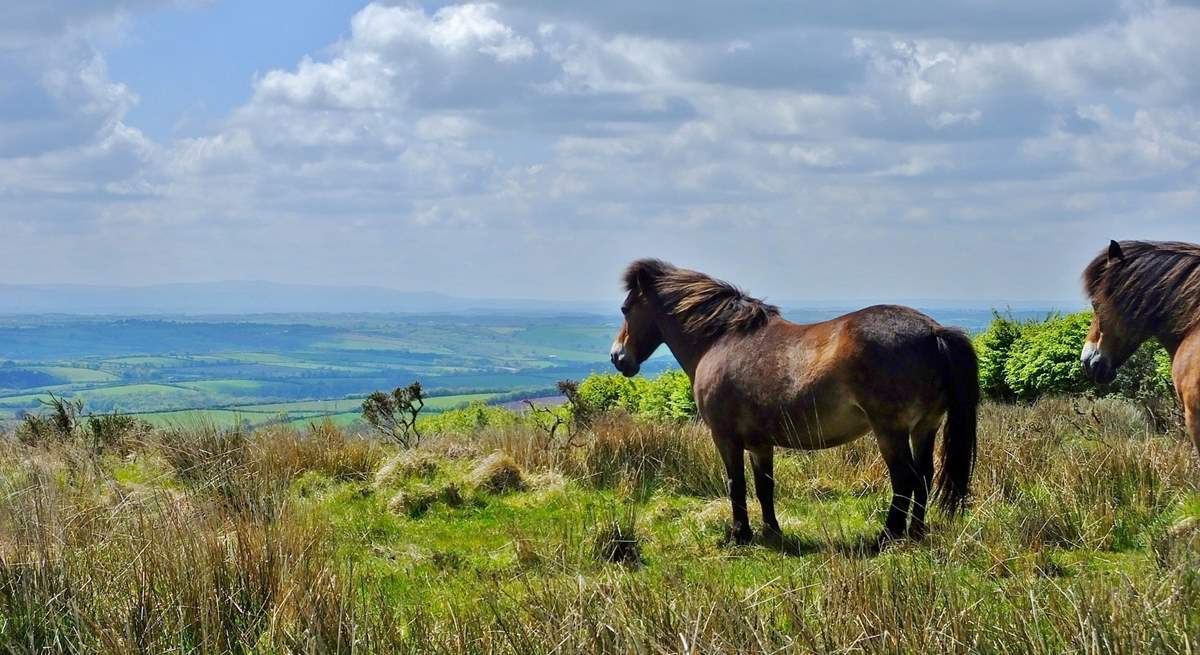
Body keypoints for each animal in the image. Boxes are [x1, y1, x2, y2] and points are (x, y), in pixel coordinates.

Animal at [614, 257, 979, 542]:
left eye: (625, 308)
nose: (618, 358)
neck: (720, 340)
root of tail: (933, 330)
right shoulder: (760, 443)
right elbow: (764, 486)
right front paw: (772, 532)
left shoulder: (725, 438)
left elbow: (736, 484)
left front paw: (740, 534)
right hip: (924, 428)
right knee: (924, 477)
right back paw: (915, 532)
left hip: (890, 431)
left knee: (905, 479)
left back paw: (887, 536)